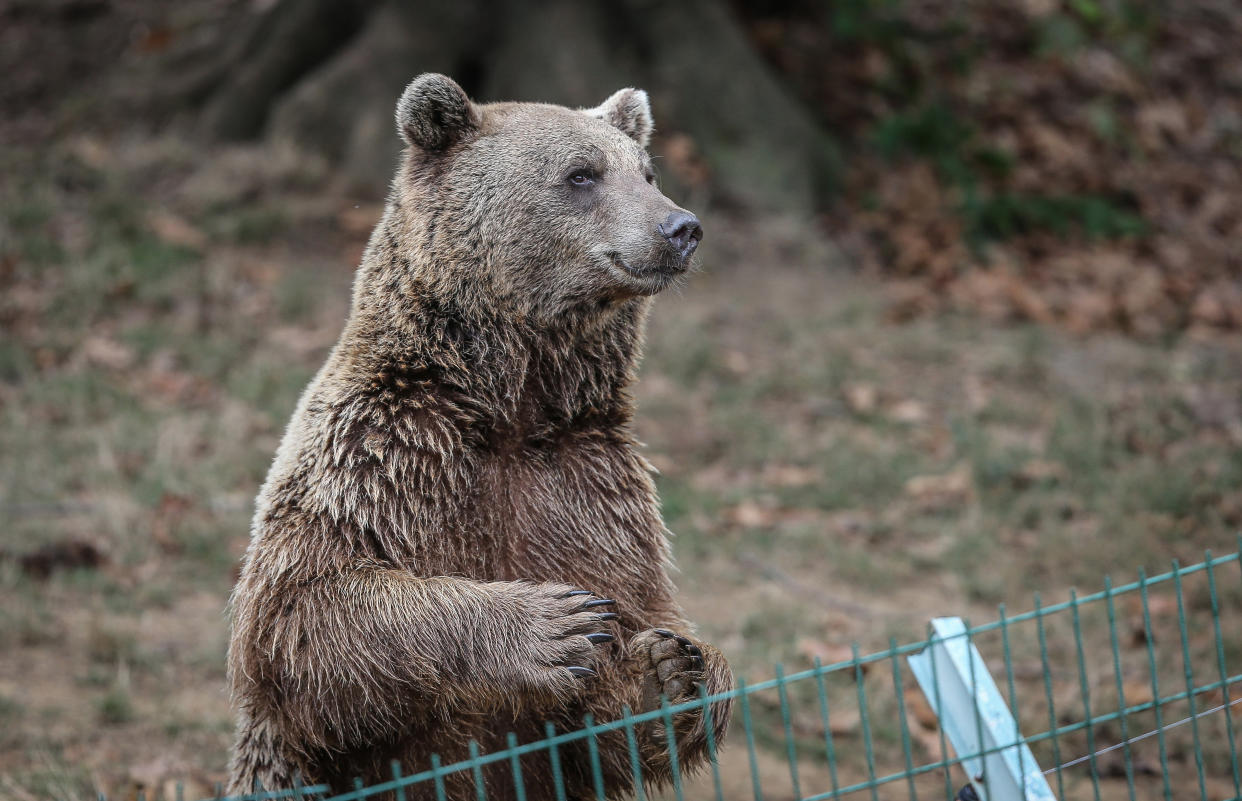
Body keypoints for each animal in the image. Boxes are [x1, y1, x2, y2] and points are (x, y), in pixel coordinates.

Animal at [224, 71, 730, 794]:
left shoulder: (590, 490)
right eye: (582, 173)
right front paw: (553, 625)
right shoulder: (383, 457)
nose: (681, 227)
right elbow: (305, 611)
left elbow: (615, 683)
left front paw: (671, 673)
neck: (510, 406)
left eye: (648, 171)